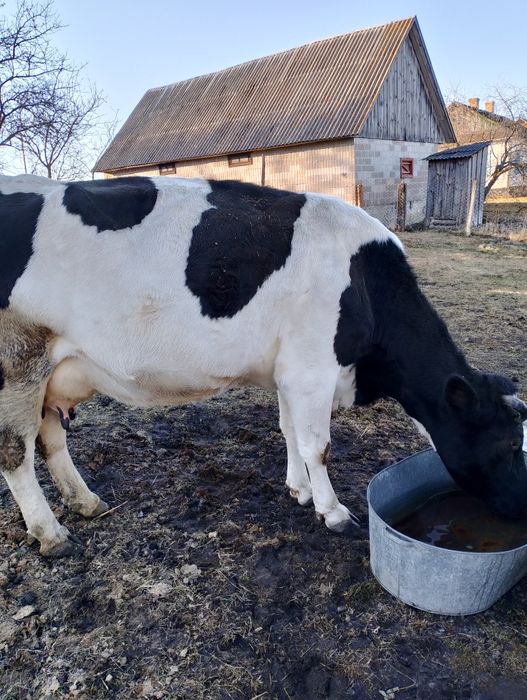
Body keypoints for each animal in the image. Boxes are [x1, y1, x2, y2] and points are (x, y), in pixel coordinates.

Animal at [0, 174, 526, 557]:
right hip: (18, 365)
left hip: (48, 373)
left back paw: (86, 502)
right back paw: (51, 534)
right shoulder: (313, 368)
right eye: (505, 444)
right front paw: (332, 510)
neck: (363, 282)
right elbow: (318, 446)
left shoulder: (288, 371)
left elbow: (289, 430)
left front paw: (298, 489)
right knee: (15, 453)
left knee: (50, 439)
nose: (521, 506)